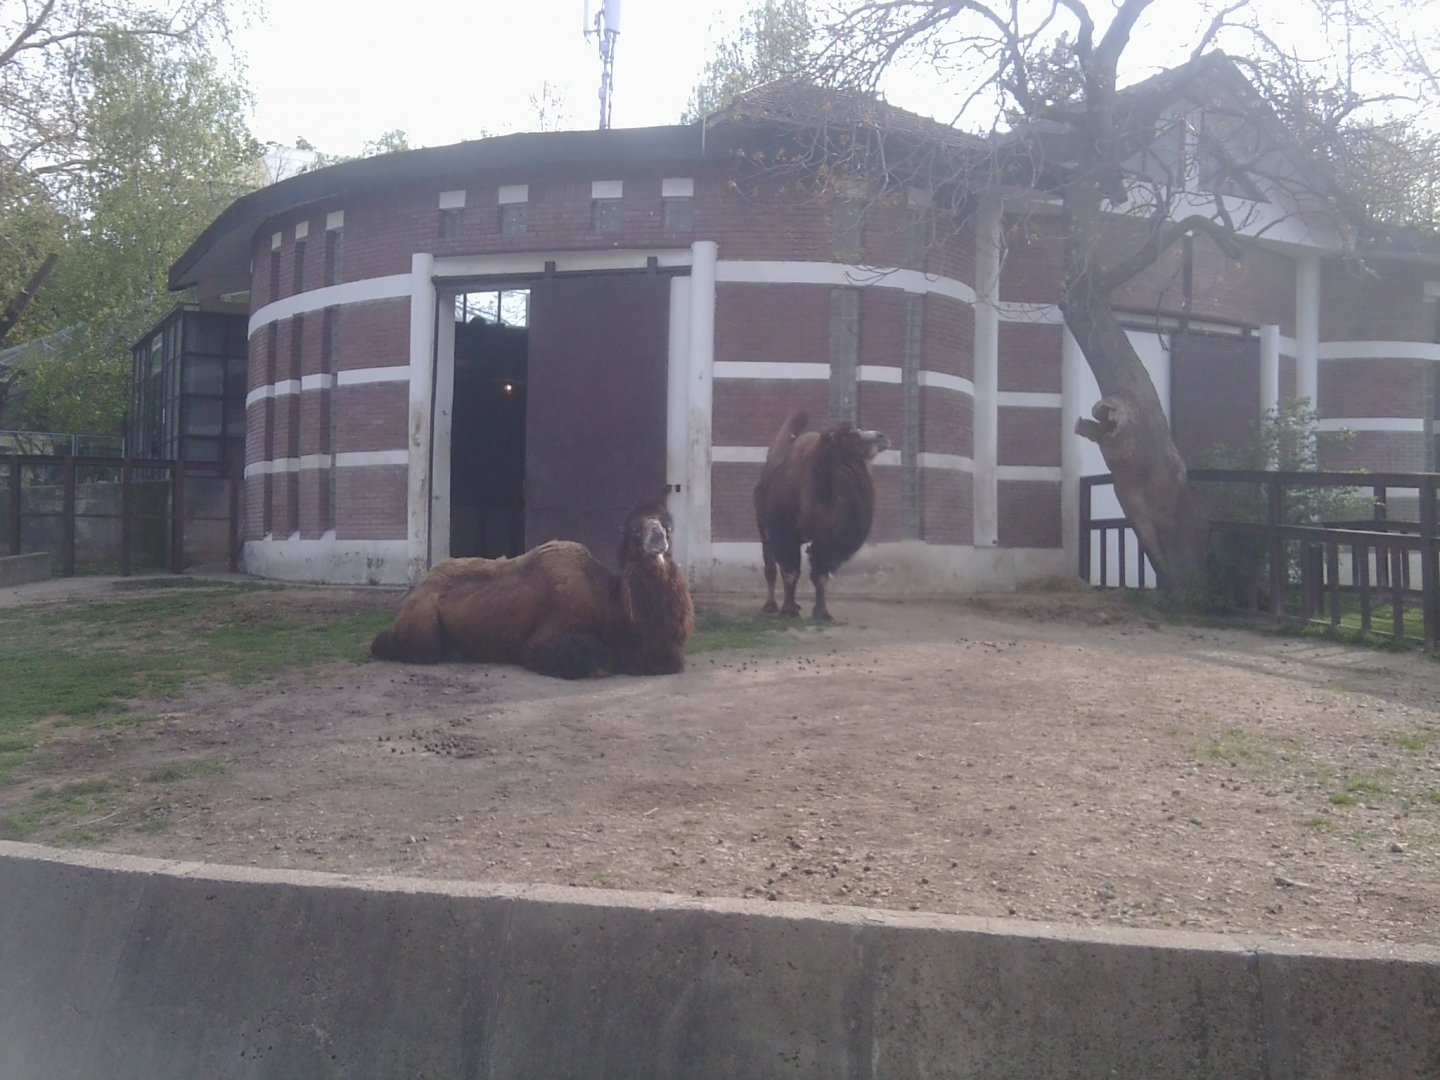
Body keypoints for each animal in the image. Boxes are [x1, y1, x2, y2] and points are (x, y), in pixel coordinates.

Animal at [370, 498, 693, 678]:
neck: (610, 603)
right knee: (413, 647)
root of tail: (413, 594)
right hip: (421, 627)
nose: (658, 537)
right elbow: (587, 653)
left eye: (667, 526)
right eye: (635, 530)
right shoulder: (547, 635)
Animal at [754, 409, 889, 621]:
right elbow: (790, 571)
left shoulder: (827, 540)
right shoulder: (784, 532)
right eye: (852, 434)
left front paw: (822, 612)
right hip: (763, 527)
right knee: (770, 566)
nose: (881, 436)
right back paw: (770, 605)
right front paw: (789, 610)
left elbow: (821, 575)